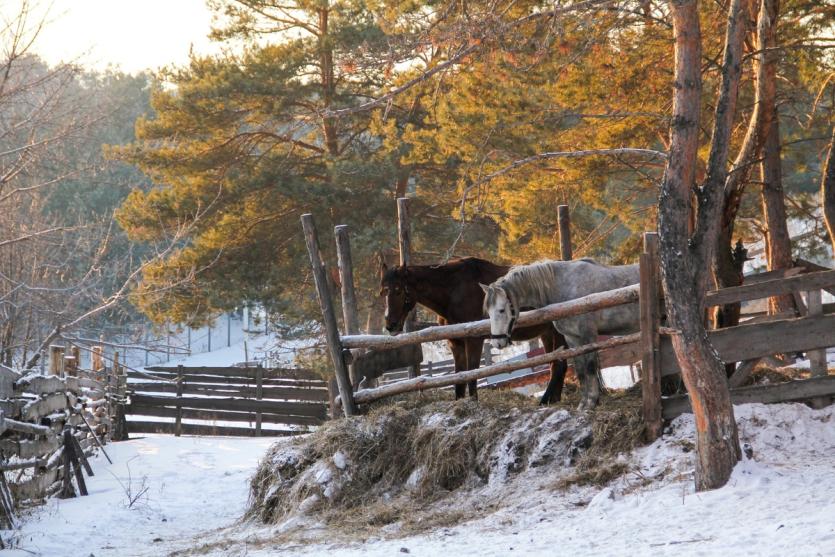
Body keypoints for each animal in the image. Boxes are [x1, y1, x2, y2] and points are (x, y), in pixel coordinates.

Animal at [382, 256, 572, 404]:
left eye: (398, 290)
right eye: (383, 290)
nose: (390, 324)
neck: (453, 292)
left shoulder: (473, 341)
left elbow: (472, 374)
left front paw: (473, 402)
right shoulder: (455, 344)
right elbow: (459, 379)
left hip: (558, 332)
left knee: (559, 365)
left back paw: (545, 401)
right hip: (547, 333)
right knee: (555, 364)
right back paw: (553, 400)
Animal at [484, 260, 640, 408]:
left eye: (501, 310)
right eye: (489, 313)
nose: (497, 342)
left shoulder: (587, 335)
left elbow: (590, 368)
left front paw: (591, 402)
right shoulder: (572, 339)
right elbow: (581, 371)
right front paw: (583, 404)